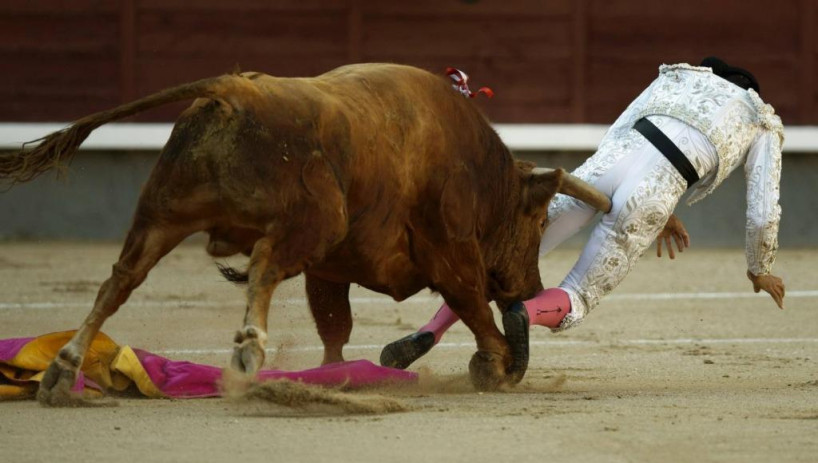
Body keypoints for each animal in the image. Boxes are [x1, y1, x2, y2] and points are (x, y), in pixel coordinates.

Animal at [0, 63, 608, 404]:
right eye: (539, 223)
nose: (530, 290)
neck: (484, 177)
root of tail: (235, 91)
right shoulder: (451, 250)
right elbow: (477, 310)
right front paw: (499, 366)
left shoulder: (329, 270)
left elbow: (335, 327)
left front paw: (333, 375)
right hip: (314, 222)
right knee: (265, 264)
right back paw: (248, 351)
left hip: (162, 215)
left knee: (120, 281)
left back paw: (63, 370)